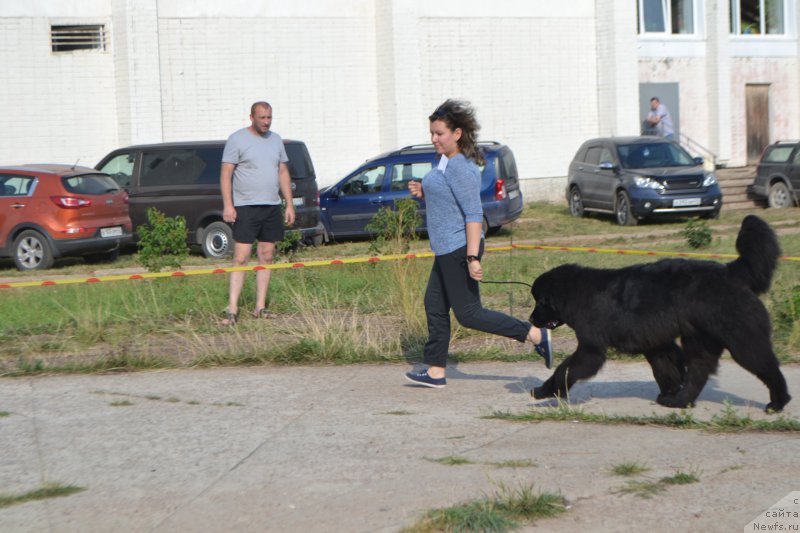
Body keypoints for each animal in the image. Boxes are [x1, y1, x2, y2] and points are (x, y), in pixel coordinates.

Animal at [528, 215, 792, 412]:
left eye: (540, 301)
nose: (530, 319)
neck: (577, 294)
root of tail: (731, 272)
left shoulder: (591, 348)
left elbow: (565, 369)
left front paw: (544, 391)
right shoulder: (655, 343)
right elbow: (666, 369)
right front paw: (669, 391)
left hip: (741, 339)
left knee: (767, 366)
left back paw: (778, 402)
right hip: (699, 339)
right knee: (698, 371)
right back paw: (679, 401)